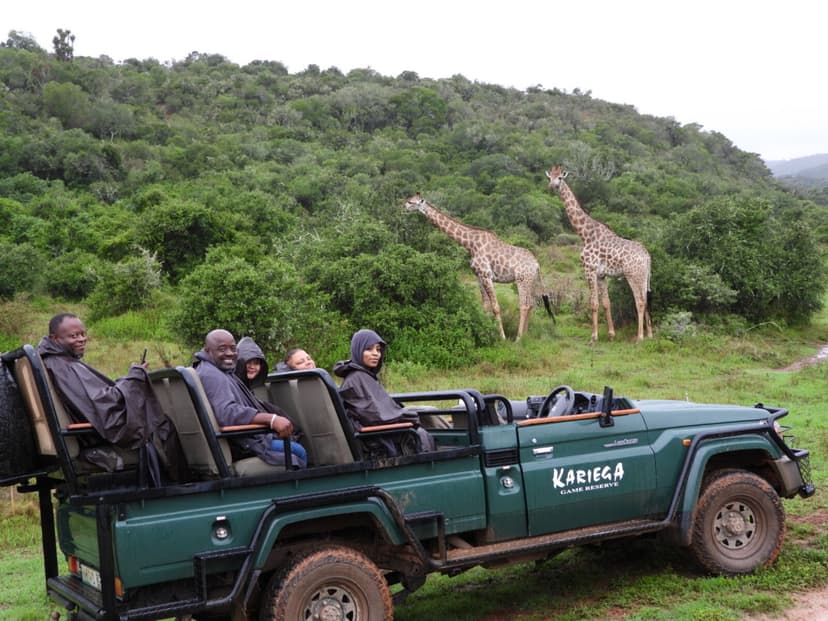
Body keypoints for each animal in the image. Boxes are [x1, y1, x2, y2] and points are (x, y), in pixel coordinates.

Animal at [403, 193, 552, 340]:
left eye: (411, 202)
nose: (402, 207)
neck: (470, 244)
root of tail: (537, 264)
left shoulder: (486, 275)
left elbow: (496, 307)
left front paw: (502, 338)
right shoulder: (479, 276)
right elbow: (485, 306)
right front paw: (485, 332)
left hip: (522, 280)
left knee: (524, 305)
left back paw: (518, 339)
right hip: (531, 281)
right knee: (531, 304)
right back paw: (526, 336)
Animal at [545, 165, 653, 344]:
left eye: (560, 177)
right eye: (549, 177)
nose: (551, 186)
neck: (585, 235)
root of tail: (648, 256)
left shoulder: (589, 269)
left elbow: (594, 303)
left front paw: (593, 337)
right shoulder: (602, 275)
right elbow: (606, 303)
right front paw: (611, 335)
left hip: (633, 275)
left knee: (640, 302)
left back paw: (639, 338)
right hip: (644, 276)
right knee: (646, 299)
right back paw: (650, 335)